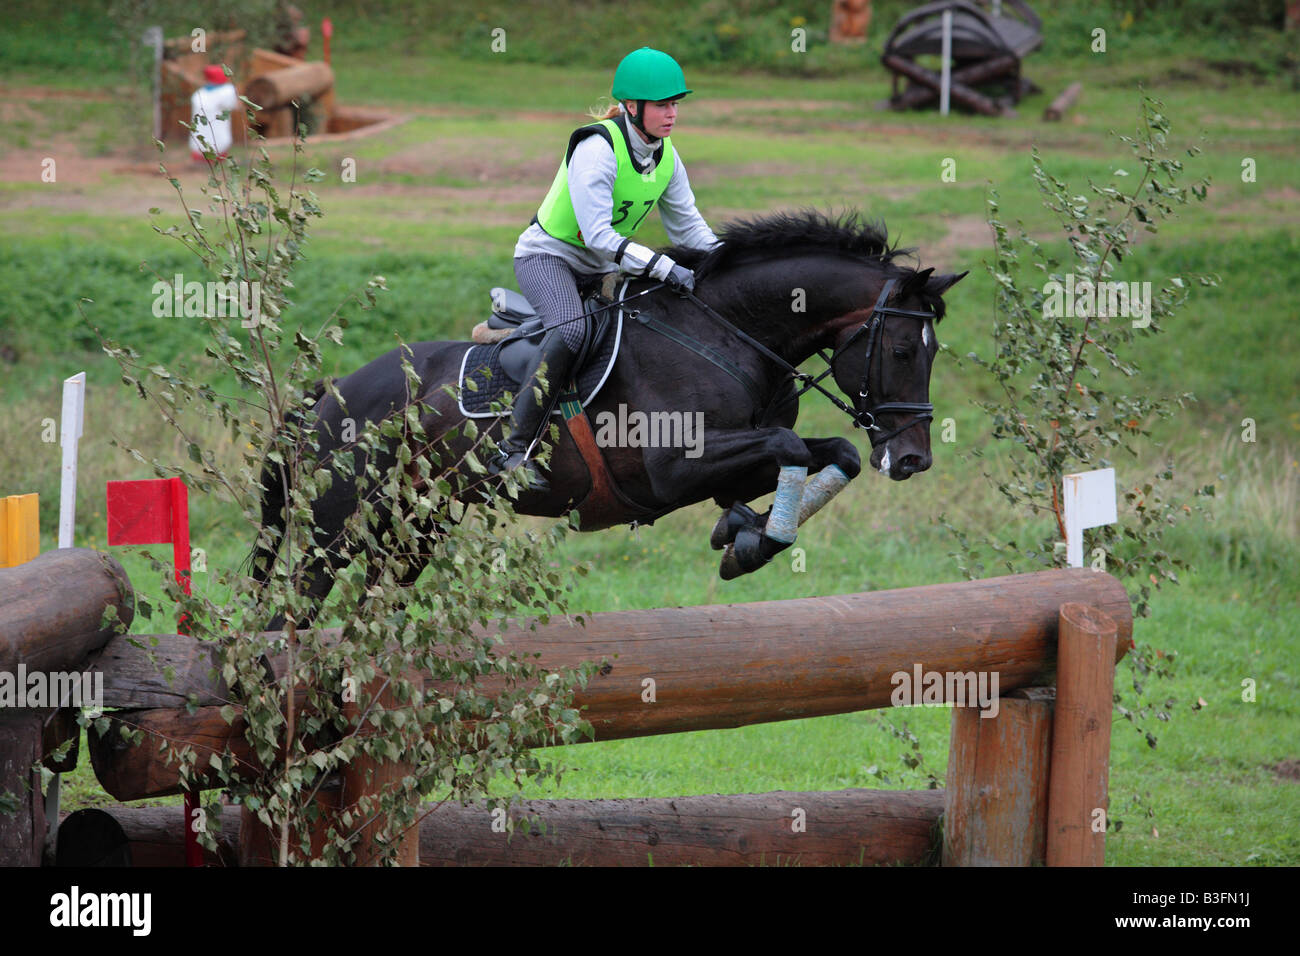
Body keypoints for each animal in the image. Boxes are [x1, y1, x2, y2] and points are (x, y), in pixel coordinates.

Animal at [251, 210, 966, 628]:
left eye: (933, 352)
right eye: (902, 351)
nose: (913, 459)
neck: (727, 333)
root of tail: (330, 393)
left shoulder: (732, 461)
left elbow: (830, 452)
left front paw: (746, 536)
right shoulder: (673, 470)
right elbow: (790, 444)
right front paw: (748, 541)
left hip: (415, 520)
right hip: (335, 520)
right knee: (295, 610)